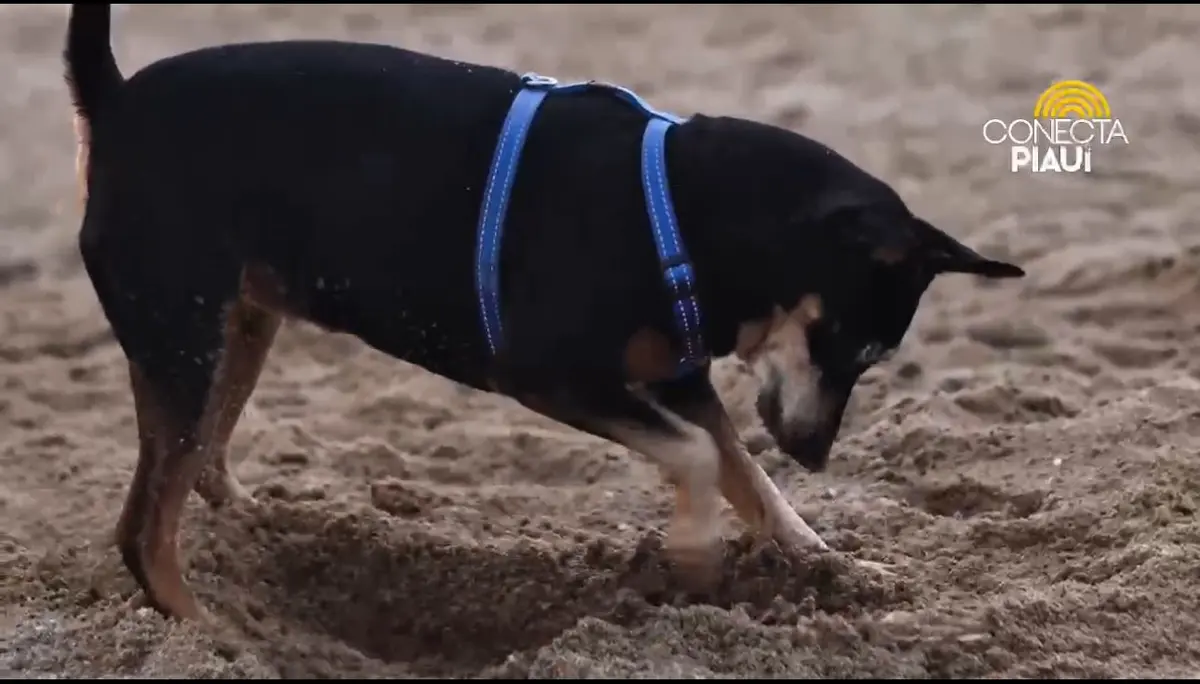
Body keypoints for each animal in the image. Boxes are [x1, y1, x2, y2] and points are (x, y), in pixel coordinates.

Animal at [65, 4, 1024, 621]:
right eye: (856, 347)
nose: (820, 454)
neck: (688, 210)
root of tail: (113, 101)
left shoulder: (676, 377)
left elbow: (744, 471)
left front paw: (833, 564)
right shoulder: (549, 372)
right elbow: (701, 458)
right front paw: (695, 557)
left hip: (236, 324)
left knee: (203, 461)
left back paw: (251, 533)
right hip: (184, 329)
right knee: (144, 525)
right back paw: (202, 627)